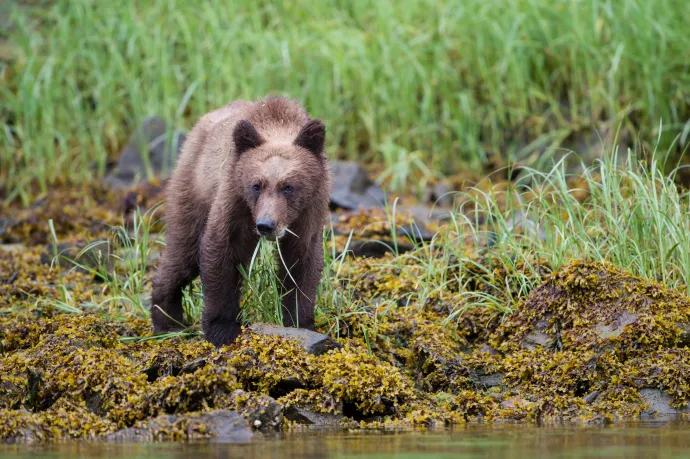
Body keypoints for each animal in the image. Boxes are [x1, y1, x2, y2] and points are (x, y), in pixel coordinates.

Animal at [150, 98, 330, 348]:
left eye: (289, 186)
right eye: (256, 185)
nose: (266, 225)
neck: (278, 122)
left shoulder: (308, 211)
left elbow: (301, 261)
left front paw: (300, 323)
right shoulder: (234, 199)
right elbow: (221, 250)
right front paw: (222, 329)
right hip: (193, 187)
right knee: (183, 253)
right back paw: (167, 321)